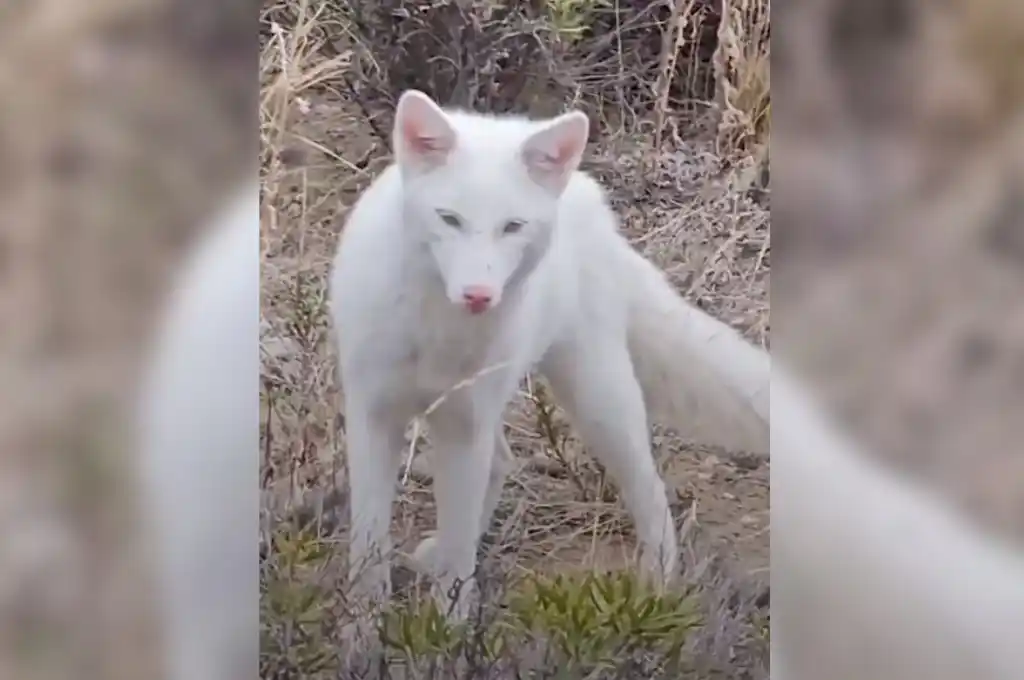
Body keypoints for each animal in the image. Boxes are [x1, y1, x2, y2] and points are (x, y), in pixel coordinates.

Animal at [328, 89, 771, 618]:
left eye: (512, 226)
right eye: (449, 218)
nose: (478, 295)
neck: (436, 332)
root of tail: (589, 197)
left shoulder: (463, 426)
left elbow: (457, 565)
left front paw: (445, 630)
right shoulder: (374, 415)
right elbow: (368, 554)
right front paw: (362, 630)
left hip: (597, 399)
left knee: (650, 490)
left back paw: (657, 590)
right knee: (502, 463)